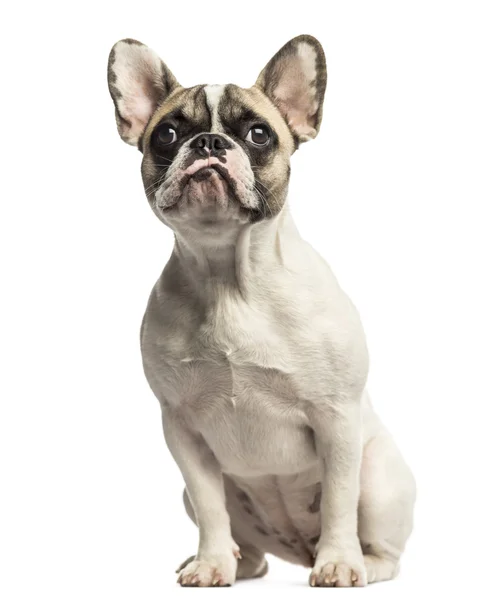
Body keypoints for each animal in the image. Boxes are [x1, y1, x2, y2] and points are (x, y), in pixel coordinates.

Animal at [106, 35, 416, 588]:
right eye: (167, 134)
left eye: (257, 134)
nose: (208, 143)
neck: (229, 279)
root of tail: (297, 547)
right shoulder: (182, 429)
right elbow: (211, 505)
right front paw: (211, 563)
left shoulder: (336, 418)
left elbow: (340, 500)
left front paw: (339, 563)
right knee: (243, 540)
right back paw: (229, 561)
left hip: (380, 476)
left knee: (381, 542)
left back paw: (361, 563)